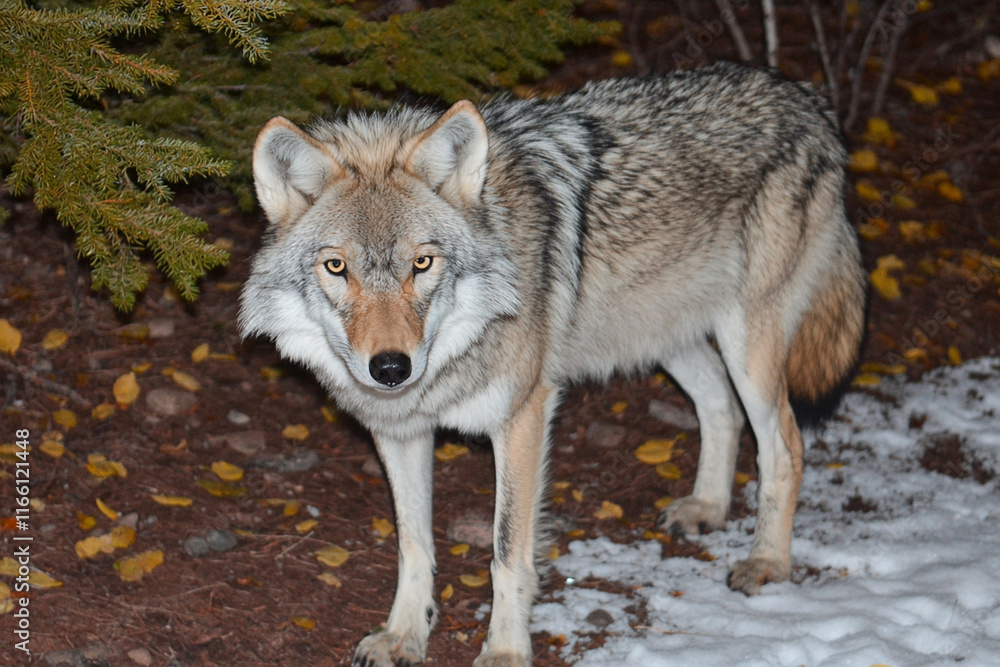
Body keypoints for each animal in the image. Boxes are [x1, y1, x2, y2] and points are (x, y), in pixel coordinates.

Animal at [239, 60, 866, 666]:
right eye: (337, 267)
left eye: (422, 263)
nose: (391, 369)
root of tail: (809, 99)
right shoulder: (399, 432)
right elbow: (413, 545)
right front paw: (403, 637)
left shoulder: (523, 418)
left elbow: (506, 553)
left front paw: (505, 651)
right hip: (667, 337)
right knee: (721, 408)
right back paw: (707, 508)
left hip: (747, 344)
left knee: (785, 447)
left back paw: (767, 563)